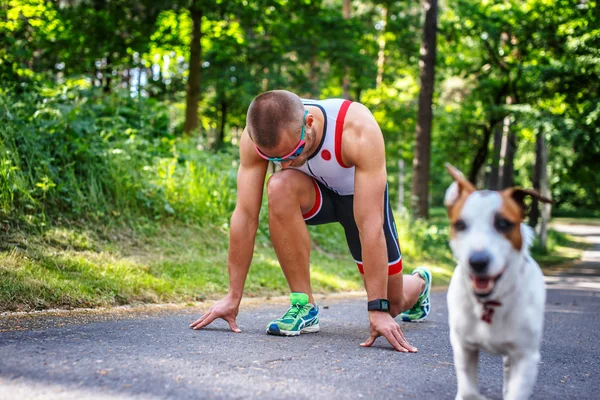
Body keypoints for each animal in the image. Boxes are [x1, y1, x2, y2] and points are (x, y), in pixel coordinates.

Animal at [442, 163, 552, 400]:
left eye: (503, 223)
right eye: (460, 225)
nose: (478, 261)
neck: (490, 303)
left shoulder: (525, 356)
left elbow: (516, 390)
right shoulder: (463, 347)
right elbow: (468, 388)